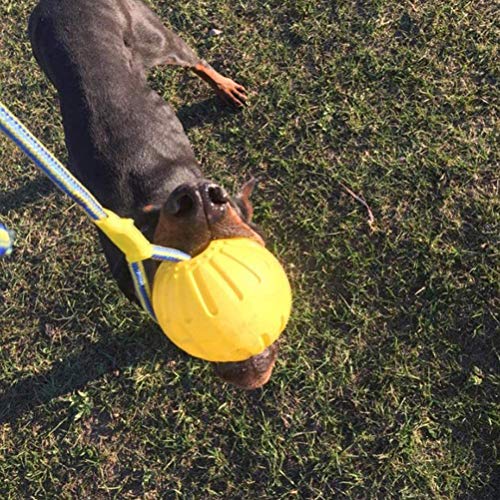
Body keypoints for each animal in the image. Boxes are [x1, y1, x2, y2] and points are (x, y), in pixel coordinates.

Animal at [29, 0, 280, 390]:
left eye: (231, 207)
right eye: (160, 222)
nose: (202, 197)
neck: (161, 189)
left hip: (157, 39)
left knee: (196, 61)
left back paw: (226, 89)